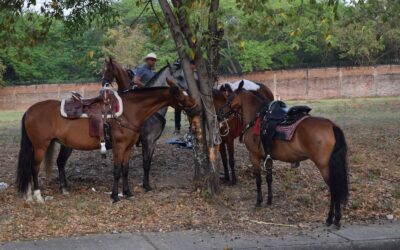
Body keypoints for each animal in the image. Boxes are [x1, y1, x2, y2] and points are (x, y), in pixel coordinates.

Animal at [17, 78, 198, 203]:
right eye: (181, 95)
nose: (197, 108)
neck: (129, 111)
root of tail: (29, 111)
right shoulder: (120, 146)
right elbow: (117, 170)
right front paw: (115, 196)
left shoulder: (128, 147)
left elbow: (125, 169)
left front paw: (128, 193)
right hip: (40, 146)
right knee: (34, 168)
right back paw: (37, 196)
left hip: (63, 144)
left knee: (58, 163)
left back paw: (57, 190)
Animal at [217, 82, 348, 229]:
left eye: (230, 98)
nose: (219, 114)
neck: (257, 118)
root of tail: (332, 126)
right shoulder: (268, 158)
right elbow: (269, 178)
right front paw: (269, 200)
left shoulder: (254, 156)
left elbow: (258, 180)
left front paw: (259, 201)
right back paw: (336, 219)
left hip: (325, 167)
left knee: (334, 189)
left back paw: (331, 218)